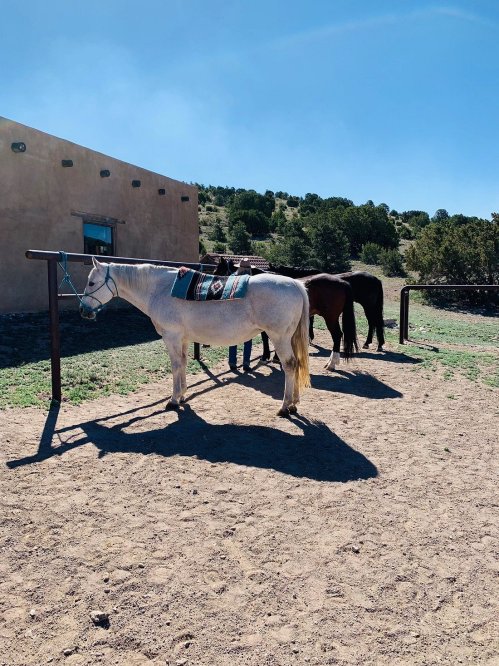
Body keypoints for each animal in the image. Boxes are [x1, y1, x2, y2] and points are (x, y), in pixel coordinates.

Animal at [80, 257, 310, 416]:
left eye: (91, 282)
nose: (83, 311)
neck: (160, 289)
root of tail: (295, 285)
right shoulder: (182, 339)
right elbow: (182, 364)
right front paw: (182, 396)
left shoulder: (171, 337)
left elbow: (175, 366)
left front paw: (173, 400)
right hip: (288, 338)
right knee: (297, 363)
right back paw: (294, 403)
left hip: (279, 337)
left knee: (290, 365)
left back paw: (284, 407)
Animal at [215, 258, 358, 371]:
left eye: (219, 272)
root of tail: (342, 282)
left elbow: (265, 338)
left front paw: (267, 356)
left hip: (330, 318)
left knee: (337, 335)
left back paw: (332, 364)